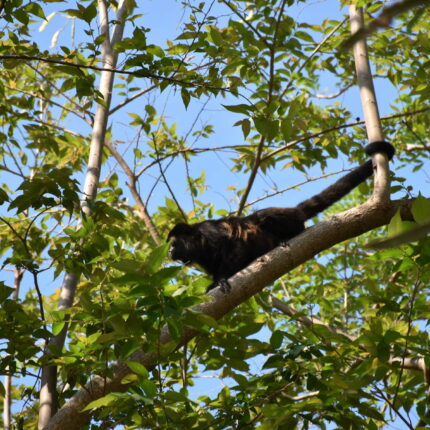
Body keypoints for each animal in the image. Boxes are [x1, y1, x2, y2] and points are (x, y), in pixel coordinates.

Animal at [166, 143, 394, 290]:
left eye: (174, 242)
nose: (168, 250)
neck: (197, 242)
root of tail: (293, 211)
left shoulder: (209, 231)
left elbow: (234, 245)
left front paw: (220, 280)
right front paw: (215, 281)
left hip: (284, 218)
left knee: (263, 217)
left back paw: (284, 238)